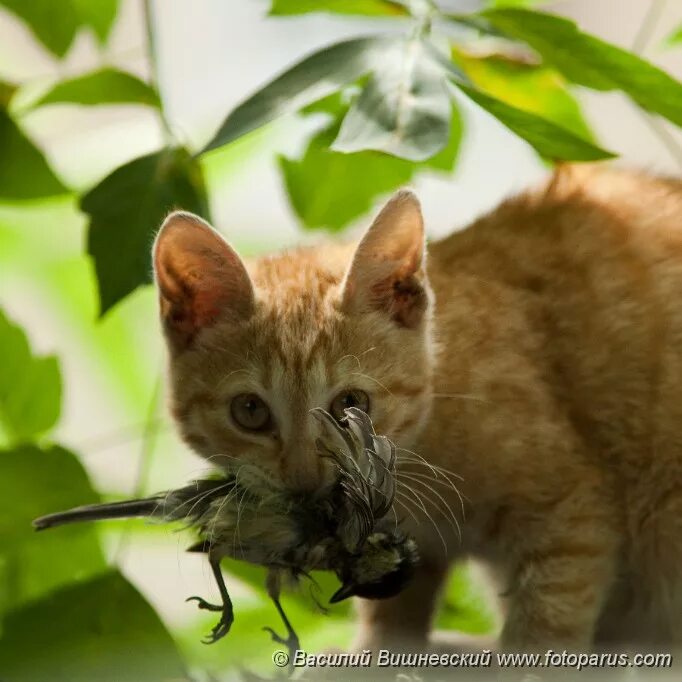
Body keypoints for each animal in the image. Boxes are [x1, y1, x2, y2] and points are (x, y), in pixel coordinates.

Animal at [153, 165, 680, 652]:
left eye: (351, 404)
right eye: (250, 410)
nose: (304, 484)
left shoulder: (573, 515)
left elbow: (547, 624)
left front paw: (524, 661)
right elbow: (394, 616)